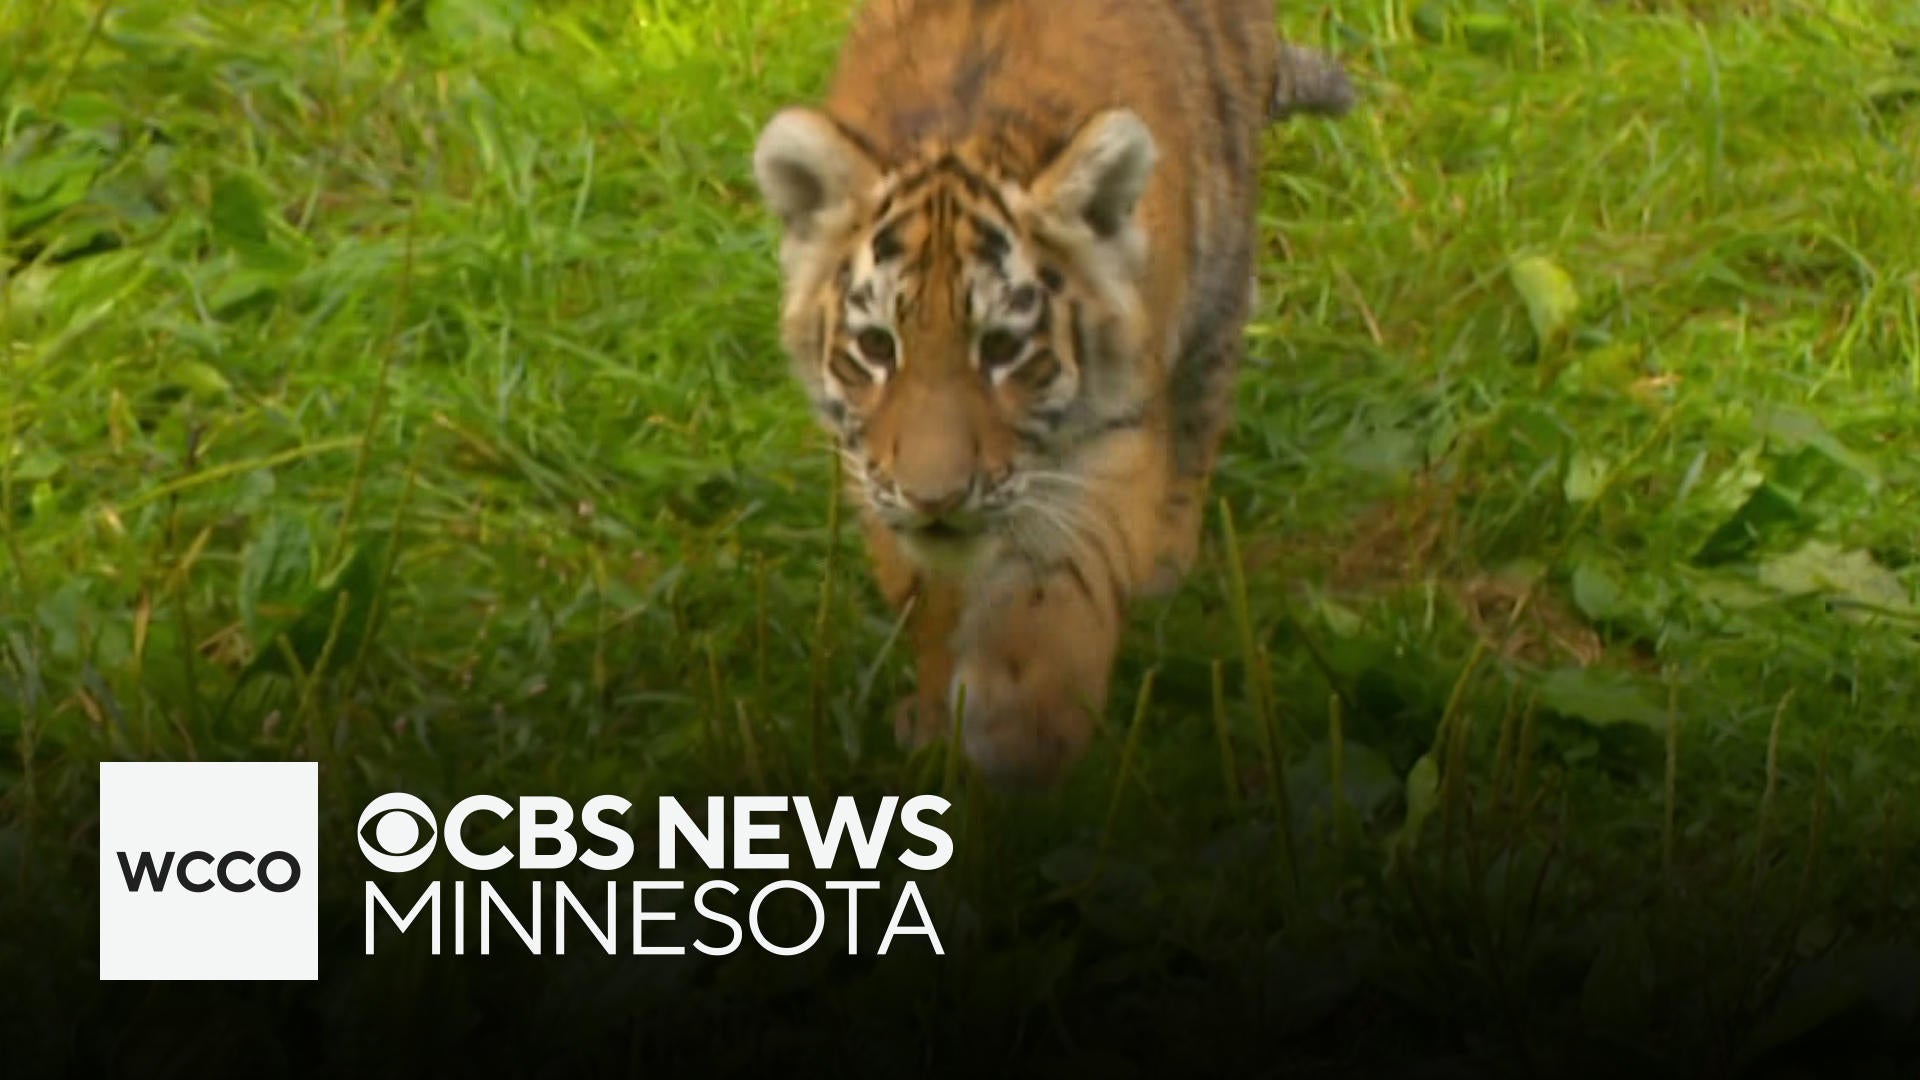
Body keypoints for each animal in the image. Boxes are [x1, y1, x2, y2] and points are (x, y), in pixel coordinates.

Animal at [751, 0, 1354, 788]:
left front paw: (1021, 730)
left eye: (1004, 348)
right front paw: (935, 721)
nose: (936, 497)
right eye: (878, 346)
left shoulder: (1109, 434)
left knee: (1198, 425)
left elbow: (1059, 583)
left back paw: (1163, 569)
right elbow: (924, 593)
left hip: (1221, 285)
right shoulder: (868, 467)